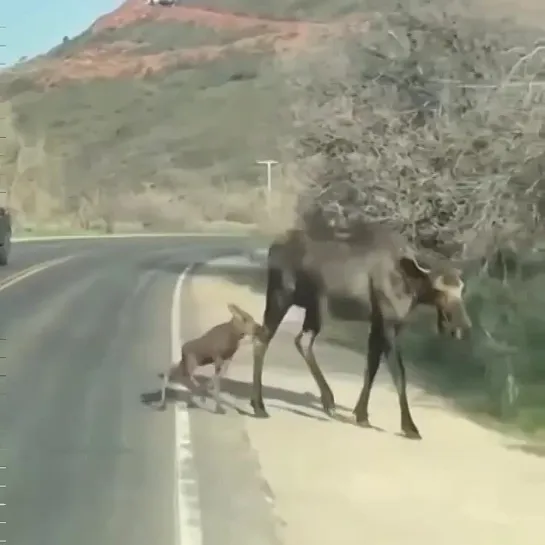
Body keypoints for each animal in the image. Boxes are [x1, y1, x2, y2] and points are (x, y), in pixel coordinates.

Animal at [251, 223, 472, 440]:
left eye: (461, 289)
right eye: (439, 290)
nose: (462, 326)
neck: (413, 288)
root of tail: (273, 249)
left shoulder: (377, 323)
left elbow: (371, 366)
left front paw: (362, 414)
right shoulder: (389, 323)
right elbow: (399, 373)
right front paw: (409, 427)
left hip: (312, 308)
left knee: (301, 340)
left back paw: (327, 401)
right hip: (282, 295)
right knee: (263, 338)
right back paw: (259, 405)